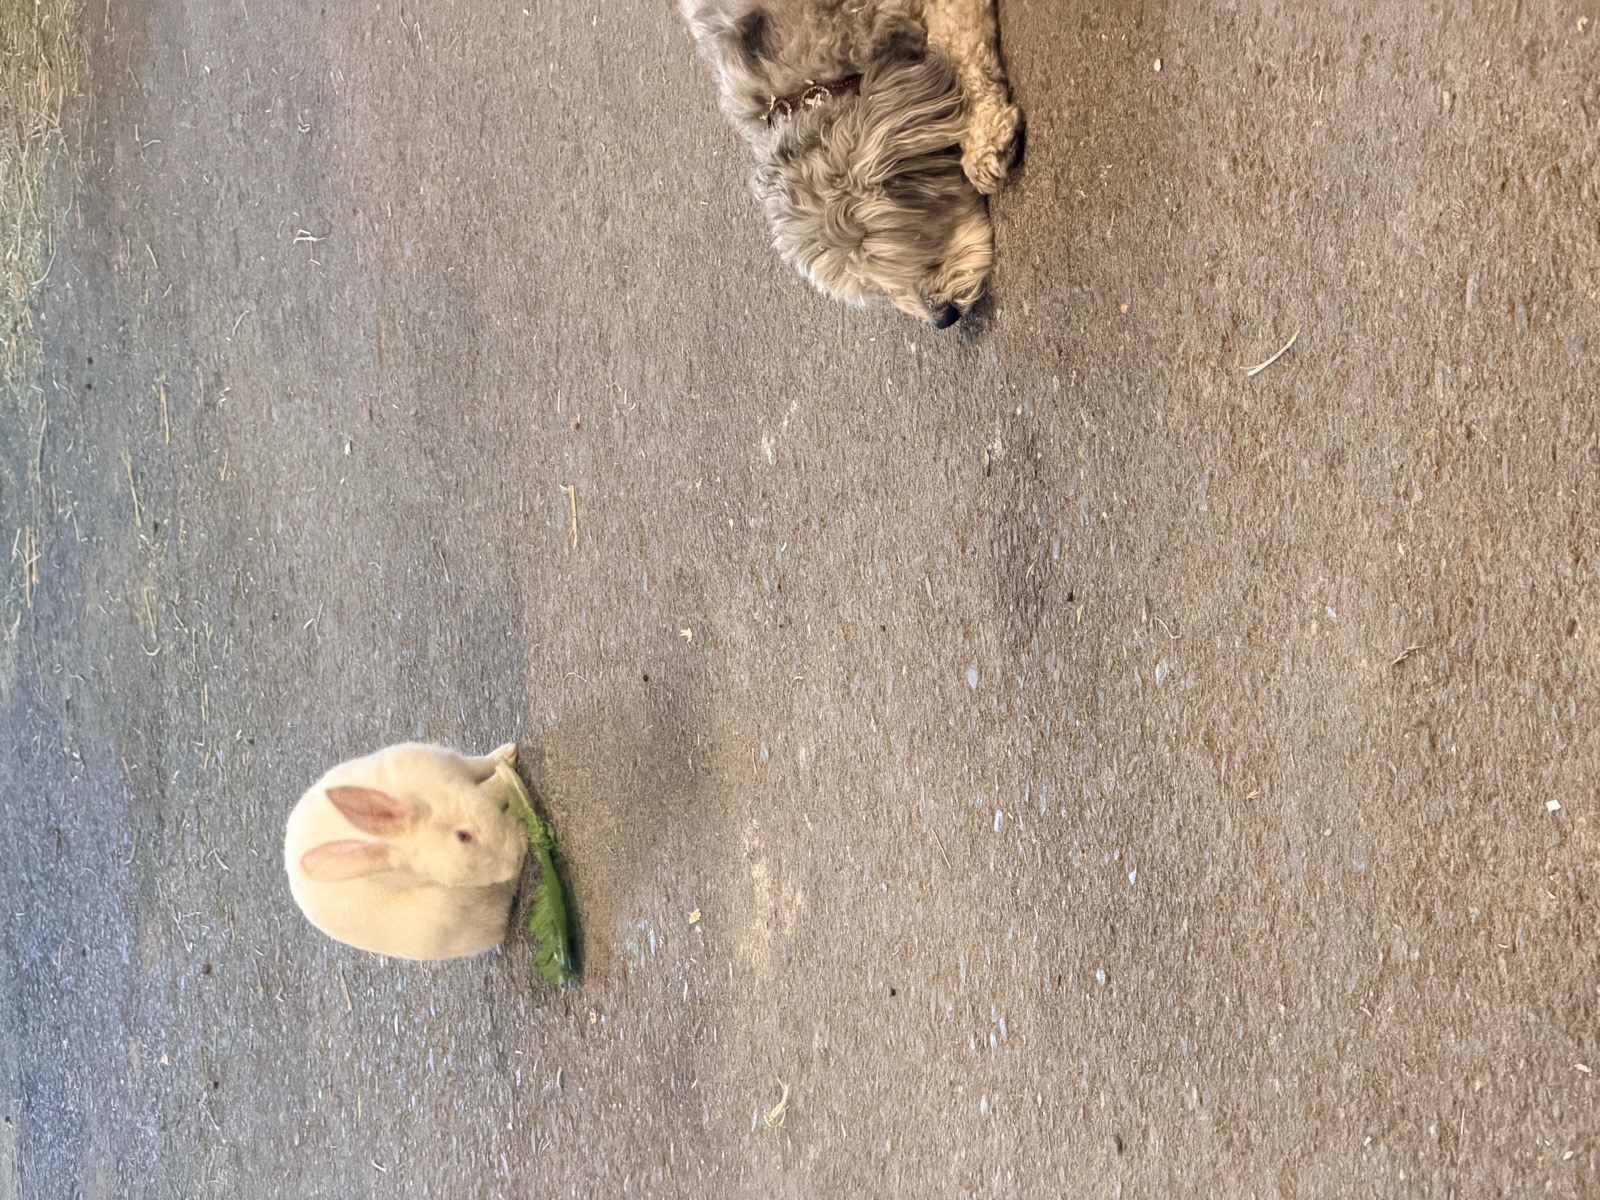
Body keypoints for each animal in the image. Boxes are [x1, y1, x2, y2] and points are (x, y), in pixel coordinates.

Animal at [284, 741, 529, 960]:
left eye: (463, 835)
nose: (516, 861)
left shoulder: (454, 764)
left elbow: (484, 770)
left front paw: (509, 754)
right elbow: (492, 788)